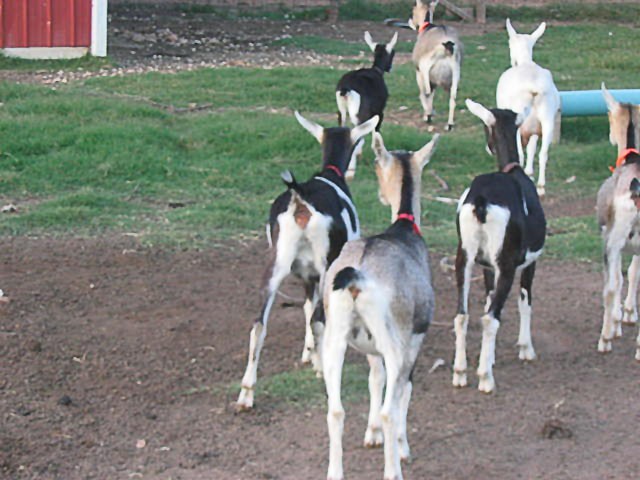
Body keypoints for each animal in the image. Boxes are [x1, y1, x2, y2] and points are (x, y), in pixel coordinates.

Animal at [236, 112, 379, 410]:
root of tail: (299, 197)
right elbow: (315, 312)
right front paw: (315, 357)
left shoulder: (304, 275)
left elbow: (304, 306)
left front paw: (308, 353)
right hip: (327, 267)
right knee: (317, 318)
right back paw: (324, 370)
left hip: (277, 266)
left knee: (258, 325)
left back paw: (246, 393)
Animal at [319, 131, 439, 480]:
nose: (381, 195)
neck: (404, 228)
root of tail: (357, 275)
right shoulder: (413, 340)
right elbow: (403, 391)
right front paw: (402, 447)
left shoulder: (371, 348)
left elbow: (376, 379)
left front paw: (371, 434)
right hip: (393, 341)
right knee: (390, 408)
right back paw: (393, 470)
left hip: (334, 340)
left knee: (335, 409)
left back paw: (335, 472)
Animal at [409, 0, 463, 131]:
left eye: (413, 10)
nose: (412, 22)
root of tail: (447, 45)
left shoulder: (420, 72)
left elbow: (424, 93)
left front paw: (428, 114)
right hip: (455, 71)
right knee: (453, 97)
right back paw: (449, 124)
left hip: (426, 67)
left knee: (427, 92)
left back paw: (429, 116)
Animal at [452, 99, 546, 393]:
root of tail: (482, 201)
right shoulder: (528, 262)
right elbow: (525, 300)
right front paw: (526, 349)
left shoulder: (486, 266)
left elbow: (487, 299)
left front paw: (490, 357)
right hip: (506, 265)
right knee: (490, 318)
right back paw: (485, 379)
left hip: (464, 258)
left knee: (462, 314)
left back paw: (460, 373)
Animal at [496, 19, 561, 197]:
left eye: (509, 43)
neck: (526, 61)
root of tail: (533, 88)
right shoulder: (534, 128)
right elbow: (532, 149)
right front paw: (530, 174)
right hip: (547, 119)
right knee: (543, 152)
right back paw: (541, 186)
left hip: (519, 120)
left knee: (520, 154)